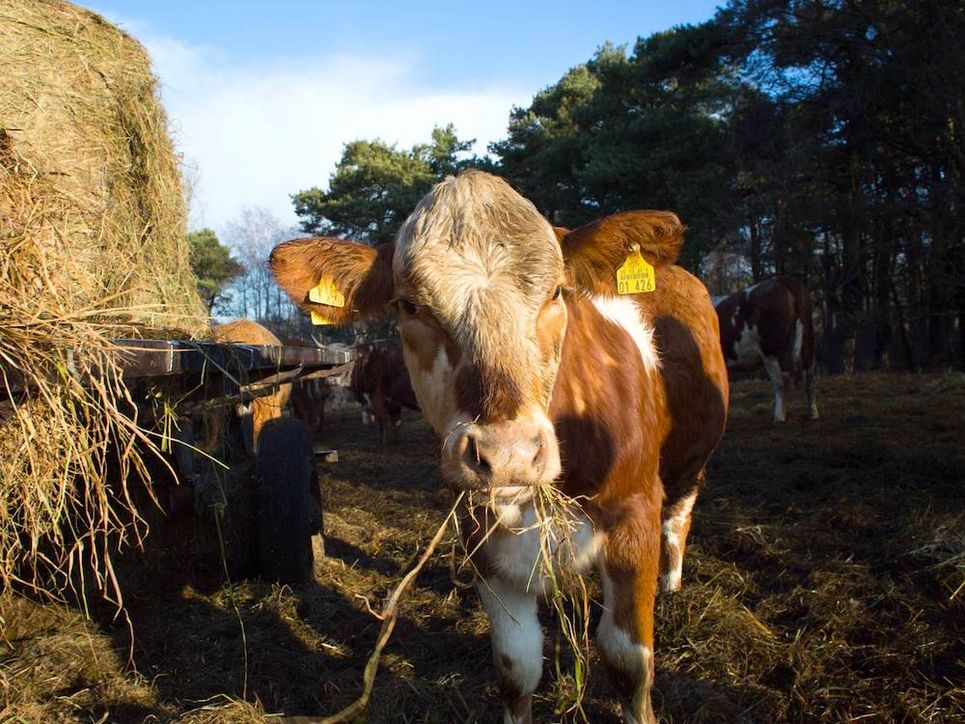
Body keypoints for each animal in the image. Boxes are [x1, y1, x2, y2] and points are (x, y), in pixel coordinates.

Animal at [269, 170, 728, 724]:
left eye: (557, 292)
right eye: (410, 306)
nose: (508, 453)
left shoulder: (633, 518)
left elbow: (628, 665)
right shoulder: (484, 542)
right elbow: (515, 669)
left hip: (690, 466)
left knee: (679, 518)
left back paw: (671, 583)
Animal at [714, 276, 818, 423]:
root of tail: (780, 280)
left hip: (772, 350)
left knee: (782, 380)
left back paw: (779, 417)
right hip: (807, 336)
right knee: (808, 373)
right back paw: (812, 414)